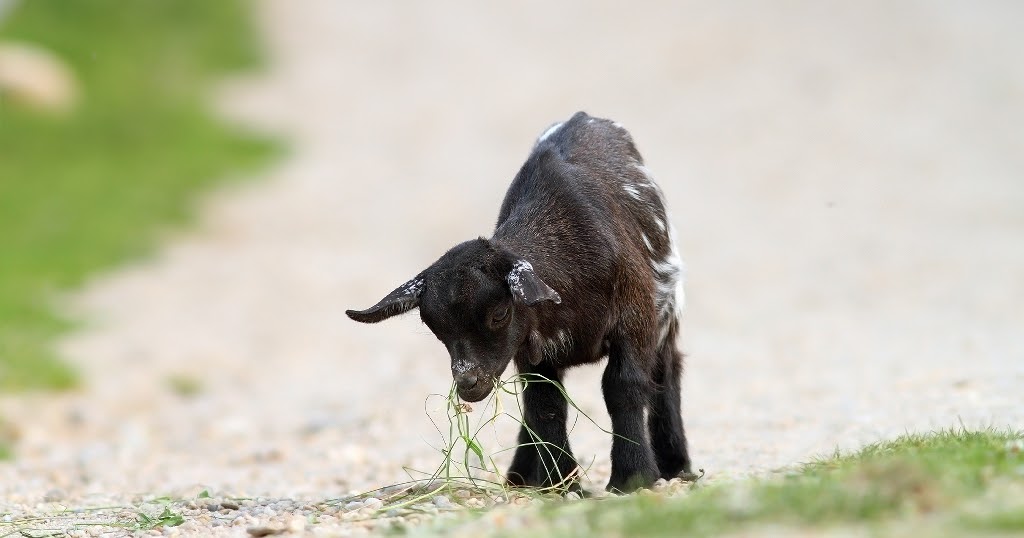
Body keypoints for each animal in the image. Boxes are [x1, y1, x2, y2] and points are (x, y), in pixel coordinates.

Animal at [346, 111, 691, 492]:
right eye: (431, 324)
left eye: (499, 314)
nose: (468, 382)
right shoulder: (530, 348)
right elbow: (544, 404)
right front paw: (561, 483)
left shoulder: (635, 317)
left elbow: (623, 386)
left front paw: (632, 477)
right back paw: (522, 475)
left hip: (668, 310)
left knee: (667, 370)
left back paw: (677, 464)